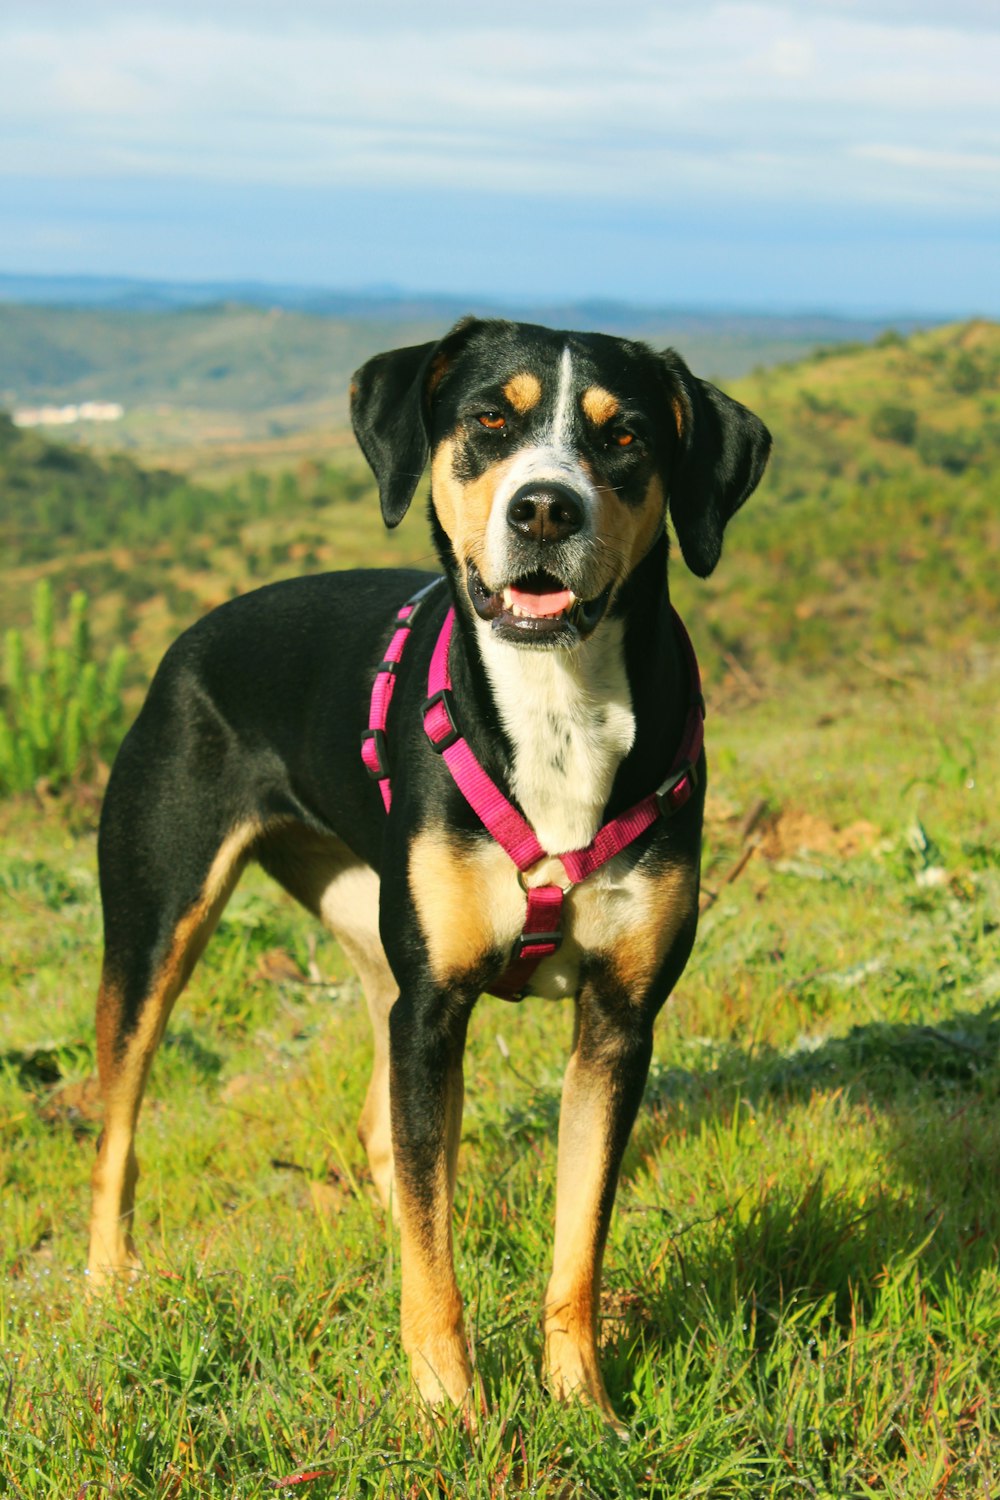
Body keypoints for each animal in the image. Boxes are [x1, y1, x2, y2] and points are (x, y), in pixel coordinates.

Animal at [88, 313, 773, 1416]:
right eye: (490, 420)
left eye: (624, 435)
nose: (545, 507)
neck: (557, 705)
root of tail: (190, 639)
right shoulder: (436, 1005)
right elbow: (432, 1236)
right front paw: (452, 1408)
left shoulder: (618, 1021)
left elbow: (576, 1237)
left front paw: (581, 1403)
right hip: (160, 920)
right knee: (119, 1119)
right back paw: (108, 1283)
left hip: (375, 945)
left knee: (387, 1133)